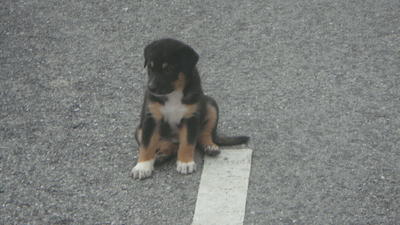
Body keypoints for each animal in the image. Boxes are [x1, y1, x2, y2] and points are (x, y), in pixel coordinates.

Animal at [131, 38, 250, 179]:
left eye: (168, 69)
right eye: (150, 66)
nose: (151, 88)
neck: (174, 94)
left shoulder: (191, 117)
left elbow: (187, 143)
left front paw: (185, 163)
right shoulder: (151, 118)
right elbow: (147, 145)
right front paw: (142, 166)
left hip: (211, 105)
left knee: (203, 134)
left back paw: (210, 147)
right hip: (139, 130)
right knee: (168, 144)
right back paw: (161, 155)